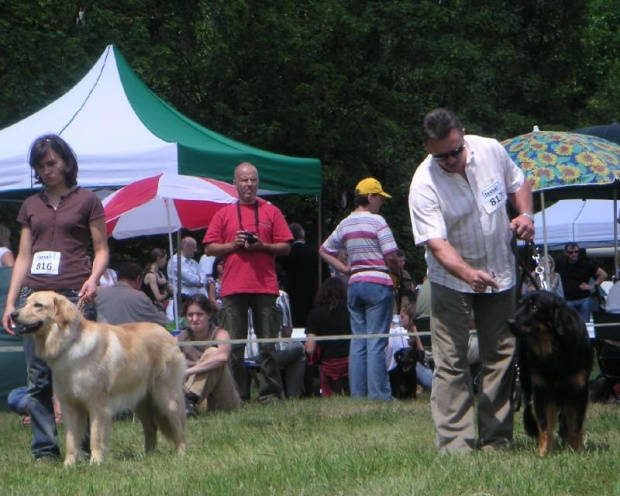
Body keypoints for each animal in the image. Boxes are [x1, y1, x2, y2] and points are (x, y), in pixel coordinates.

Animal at [11, 290, 186, 464]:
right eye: (26, 303)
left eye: (38, 305)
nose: (13, 314)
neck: (69, 344)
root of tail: (166, 332)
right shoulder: (69, 405)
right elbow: (70, 439)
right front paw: (69, 464)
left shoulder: (97, 404)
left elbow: (95, 436)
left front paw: (96, 461)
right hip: (140, 402)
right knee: (151, 428)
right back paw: (146, 455)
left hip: (167, 398)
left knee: (179, 428)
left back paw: (181, 454)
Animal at [512, 290, 592, 458]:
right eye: (520, 305)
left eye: (534, 307)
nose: (510, 321)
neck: (555, 350)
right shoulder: (542, 392)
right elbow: (545, 426)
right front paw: (544, 453)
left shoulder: (579, 390)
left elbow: (576, 425)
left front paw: (577, 451)